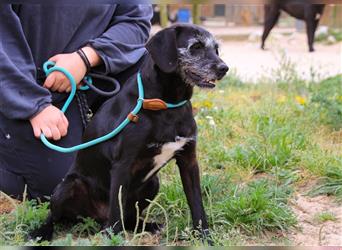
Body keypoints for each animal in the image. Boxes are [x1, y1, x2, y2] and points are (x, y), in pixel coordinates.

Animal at [30, 24, 228, 243]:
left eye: (216, 49)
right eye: (196, 47)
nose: (224, 68)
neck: (167, 104)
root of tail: (98, 218)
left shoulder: (189, 161)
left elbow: (197, 204)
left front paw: (205, 237)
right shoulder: (122, 165)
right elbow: (116, 209)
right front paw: (113, 239)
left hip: (152, 183)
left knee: (129, 219)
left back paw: (148, 226)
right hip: (67, 187)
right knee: (55, 215)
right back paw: (41, 232)